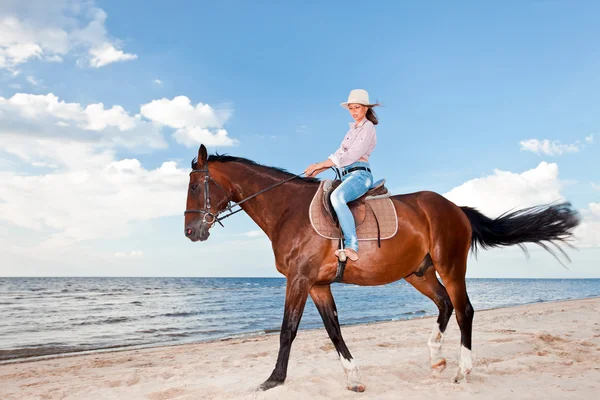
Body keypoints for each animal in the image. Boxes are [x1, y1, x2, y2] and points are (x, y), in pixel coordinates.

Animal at [184, 144, 580, 390]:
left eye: (195, 186)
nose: (190, 232)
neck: (288, 210)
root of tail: (455, 208)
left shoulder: (298, 280)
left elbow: (287, 331)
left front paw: (273, 380)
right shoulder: (318, 285)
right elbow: (333, 331)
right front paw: (352, 377)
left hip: (450, 265)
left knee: (463, 309)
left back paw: (462, 369)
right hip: (419, 273)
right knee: (444, 305)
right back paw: (436, 357)